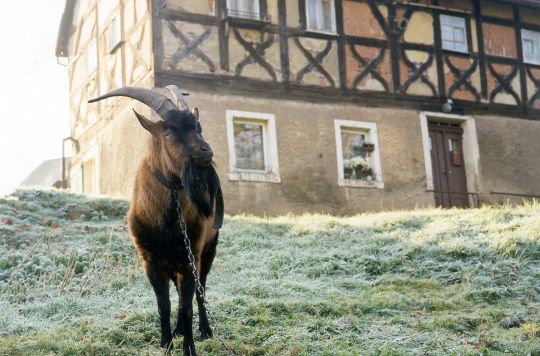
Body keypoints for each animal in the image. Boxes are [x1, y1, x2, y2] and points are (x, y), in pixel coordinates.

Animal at [89, 85, 224, 354]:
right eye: (169, 131)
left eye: (198, 127)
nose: (206, 152)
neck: (167, 223)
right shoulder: (150, 261)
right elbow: (164, 305)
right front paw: (165, 342)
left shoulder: (189, 256)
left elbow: (186, 305)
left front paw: (188, 347)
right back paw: (179, 330)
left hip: (208, 250)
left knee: (200, 291)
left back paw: (204, 330)